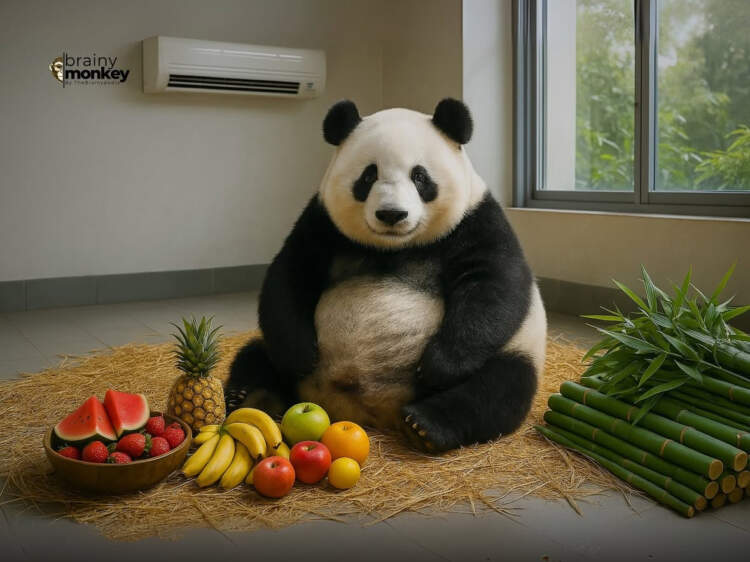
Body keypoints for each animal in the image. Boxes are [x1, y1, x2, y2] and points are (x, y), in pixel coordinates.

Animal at [224, 98, 547, 453]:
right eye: (368, 176)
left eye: (420, 177)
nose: (392, 214)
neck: (394, 247)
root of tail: (371, 409)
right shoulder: (322, 222)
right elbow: (291, 274)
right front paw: (300, 355)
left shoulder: (476, 219)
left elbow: (494, 287)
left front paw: (437, 367)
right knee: (255, 353)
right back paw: (252, 397)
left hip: (515, 352)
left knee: (498, 390)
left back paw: (424, 425)